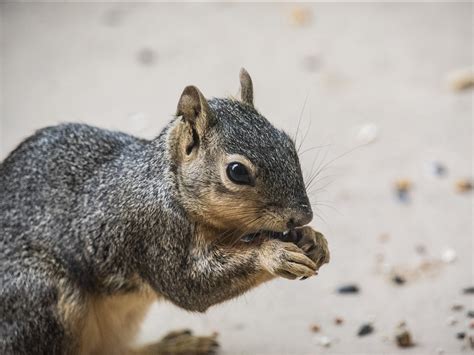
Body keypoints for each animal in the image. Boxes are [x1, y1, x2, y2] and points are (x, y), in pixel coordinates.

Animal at [0, 68, 330, 354]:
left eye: (288, 144)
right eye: (237, 171)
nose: (304, 216)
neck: (169, 186)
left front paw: (314, 239)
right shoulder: (152, 234)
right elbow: (188, 286)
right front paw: (274, 254)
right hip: (44, 298)